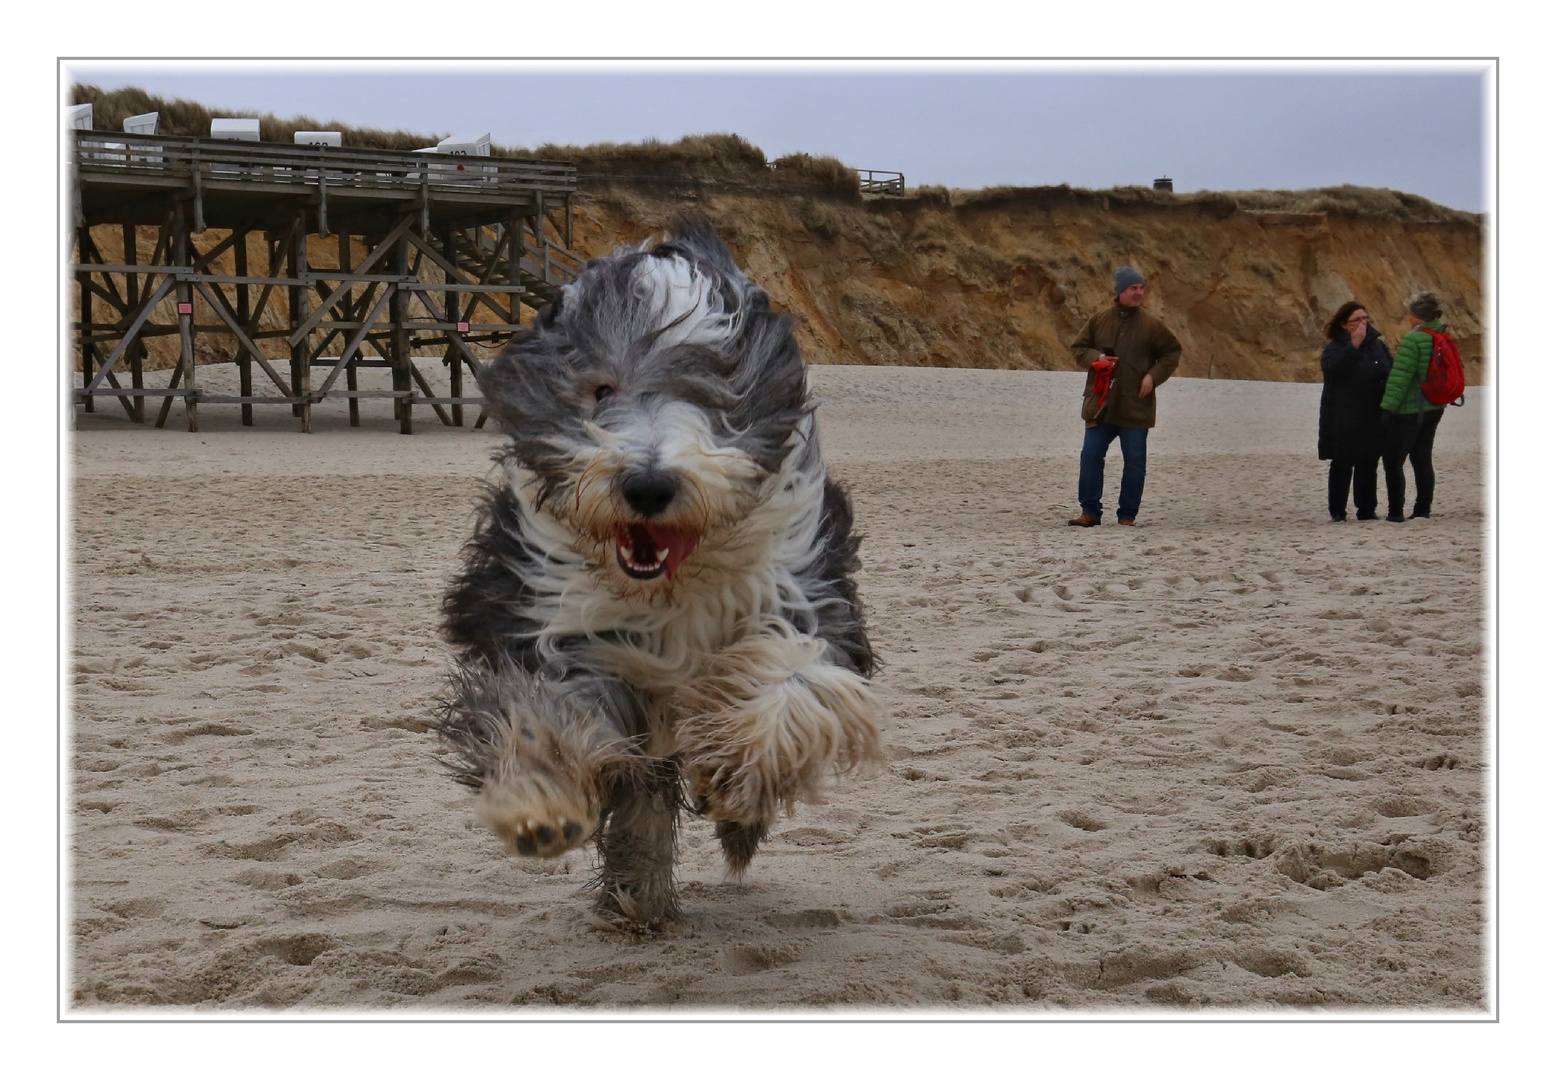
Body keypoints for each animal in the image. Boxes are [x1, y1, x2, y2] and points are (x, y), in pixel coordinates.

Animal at [438, 217, 883, 933]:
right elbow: (544, 707)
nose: (647, 485)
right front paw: (540, 803)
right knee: (642, 798)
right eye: (601, 389)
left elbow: (790, 681)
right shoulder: (551, 618)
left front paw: (733, 775)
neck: (671, 583)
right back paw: (638, 898)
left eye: (713, 398)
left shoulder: (805, 590)